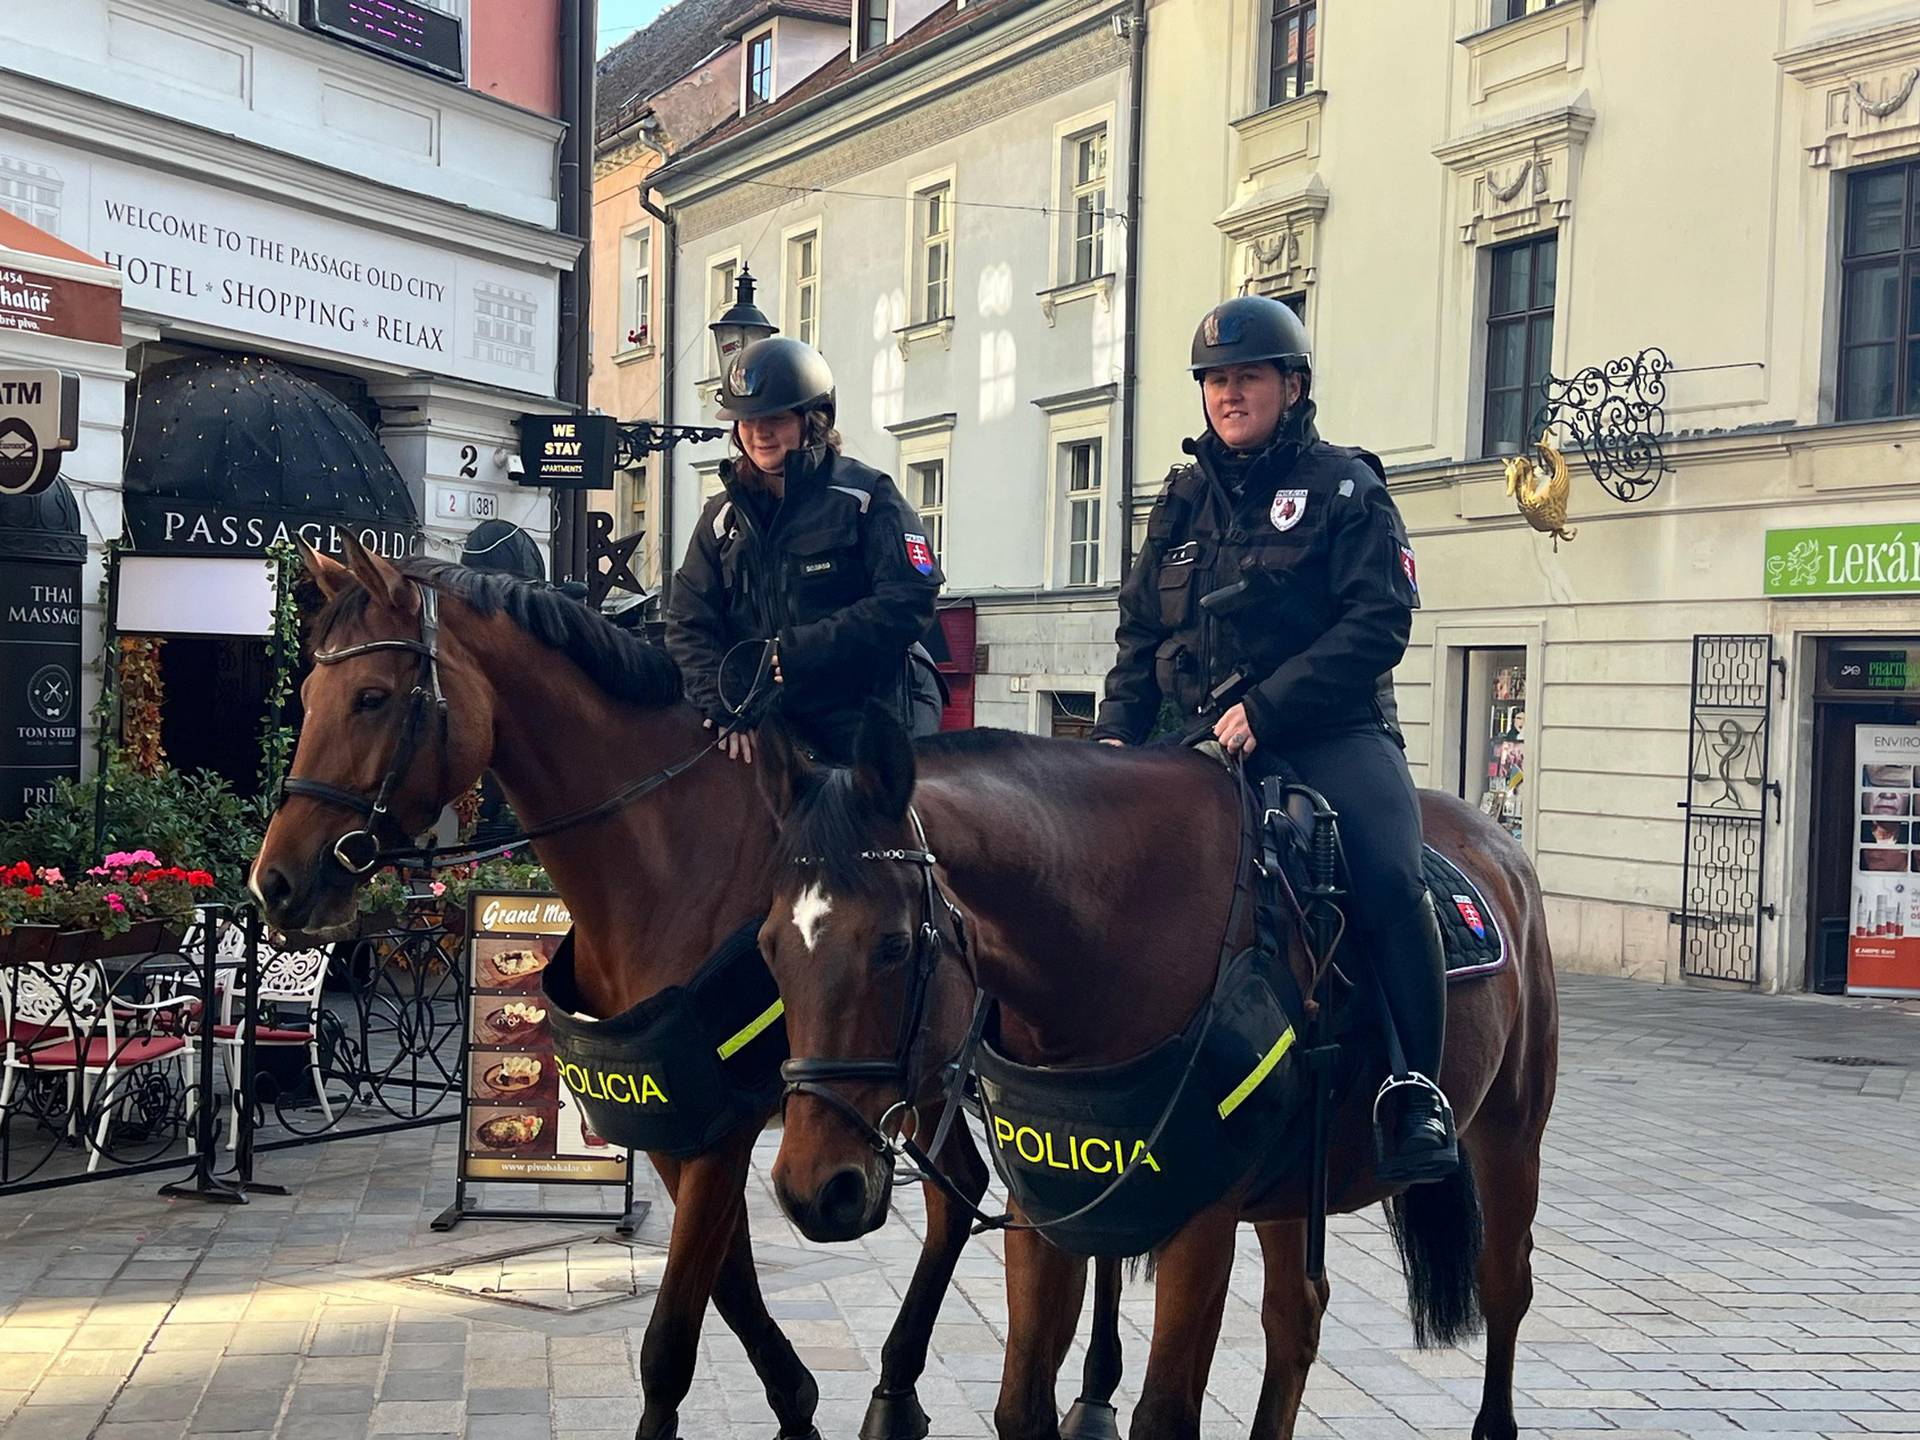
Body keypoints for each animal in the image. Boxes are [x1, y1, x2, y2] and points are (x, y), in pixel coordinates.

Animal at [249, 537, 1128, 1440]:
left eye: (373, 697)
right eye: (306, 695)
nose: (274, 883)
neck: (669, 854)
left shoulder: (725, 1131)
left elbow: (672, 1335)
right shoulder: (685, 1125)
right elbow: (729, 1281)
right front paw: (796, 1403)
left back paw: (1091, 1389)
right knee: (963, 1194)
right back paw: (899, 1389)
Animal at [748, 718, 1559, 1440]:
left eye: (891, 946)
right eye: (767, 947)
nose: (814, 1189)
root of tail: (1499, 841)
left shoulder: (1203, 1223)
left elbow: (1164, 1416)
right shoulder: (1047, 1205)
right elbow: (1022, 1408)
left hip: (1510, 1132)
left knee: (1504, 1285)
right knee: (1295, 1313)